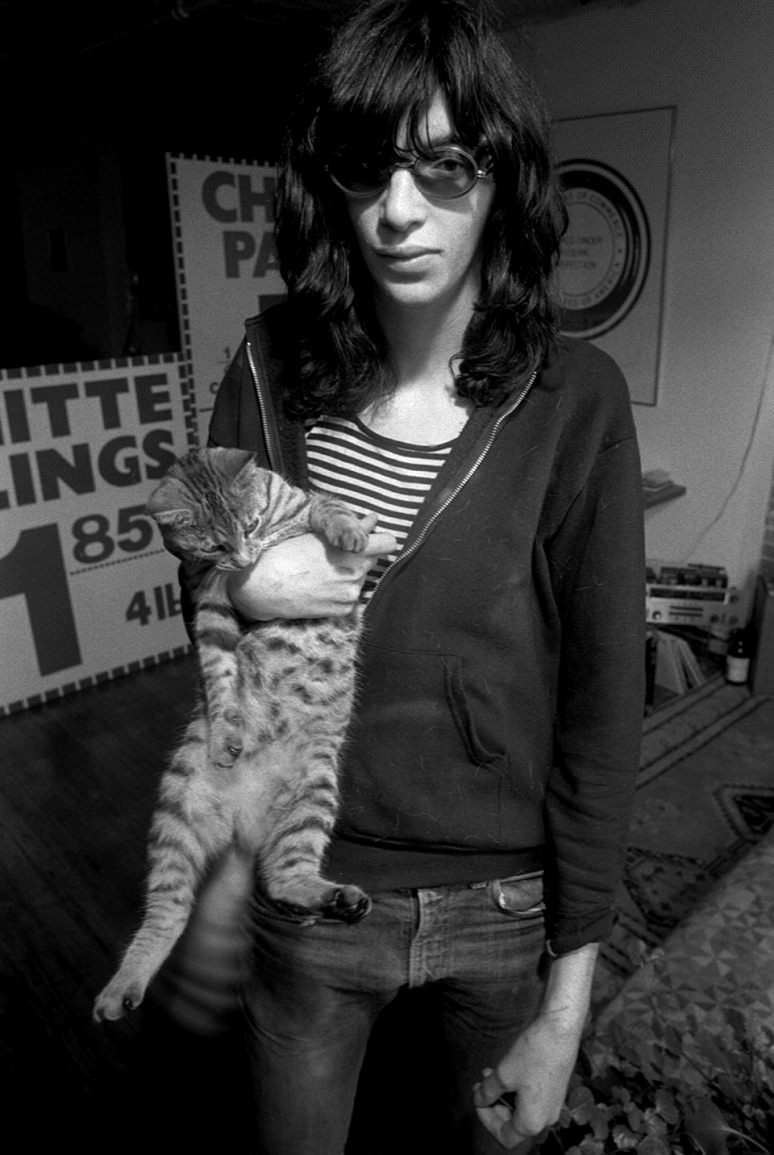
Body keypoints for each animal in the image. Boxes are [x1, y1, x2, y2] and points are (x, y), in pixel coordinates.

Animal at [94, 445, 371, 1025]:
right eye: (213, 543)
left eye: (252, 524)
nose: (244, 559)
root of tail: (245, 824)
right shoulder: (209, 598)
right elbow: (219, 674)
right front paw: (228, 730)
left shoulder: (301, 506)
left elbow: (327, 504)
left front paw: (348, 531)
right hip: (176, 816)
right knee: (168, 911)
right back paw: (122, 986)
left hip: (313, 791)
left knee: (284, 875)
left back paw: (335, 898)